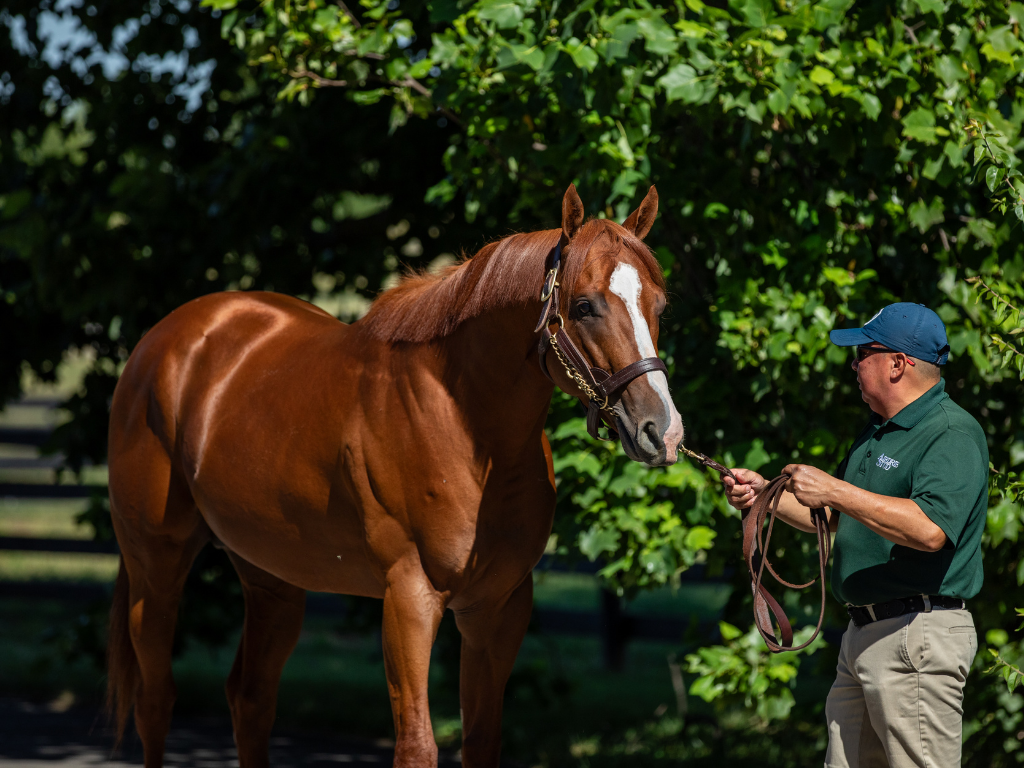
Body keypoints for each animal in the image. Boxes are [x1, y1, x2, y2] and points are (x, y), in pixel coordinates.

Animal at [105, 186, 679, 768]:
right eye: (584, 306)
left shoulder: (497, 608)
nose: (663, 430)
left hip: (271, 578)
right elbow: (417, 746)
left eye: (659, 306)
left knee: (249, 700)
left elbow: (482, 740)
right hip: (156, 566)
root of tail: (163, 342)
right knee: (157, 701)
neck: (463, 427)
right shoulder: (409, 599)